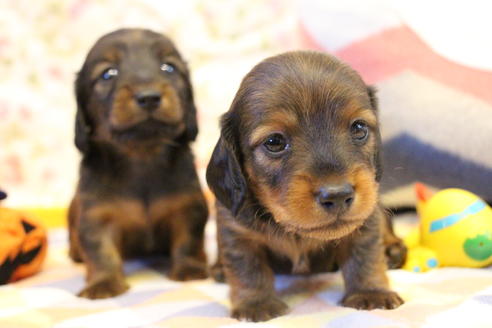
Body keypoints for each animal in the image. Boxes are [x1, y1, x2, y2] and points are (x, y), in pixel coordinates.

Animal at [68, 28, 208, 300]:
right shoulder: (96, 217)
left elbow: (188, 241)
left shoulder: (188, 208)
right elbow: (101, 252)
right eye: (108, 73)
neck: (142, 157)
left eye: (168, 68)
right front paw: (103, 282)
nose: (149, 97)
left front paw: (189, 269)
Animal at [207, 50, 404, 320]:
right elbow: (248, 269)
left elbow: (365, 256)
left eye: (359, 127)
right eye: (275, 141)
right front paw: (256, 303)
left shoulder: (366, 222)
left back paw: (393, 250)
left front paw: (371, 292)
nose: (337, 195)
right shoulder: (236, 232)